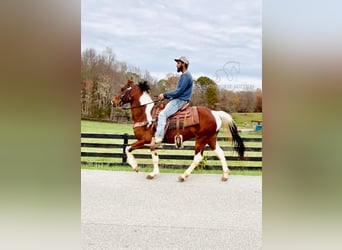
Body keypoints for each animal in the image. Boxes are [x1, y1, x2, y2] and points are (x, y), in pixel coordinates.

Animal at [111, 80, 244, 182]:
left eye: (123, 89)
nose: (113, 101)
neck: (146, 115)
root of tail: (215, 113)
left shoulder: (144, 140)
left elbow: (128, 148)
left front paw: (135, 167)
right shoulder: (153, 143)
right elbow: (155, 158)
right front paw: (153, 174)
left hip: (201, 139)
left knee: (197, 158)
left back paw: (183, 176)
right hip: (211, 139)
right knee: (220, 153)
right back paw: (225, 175)